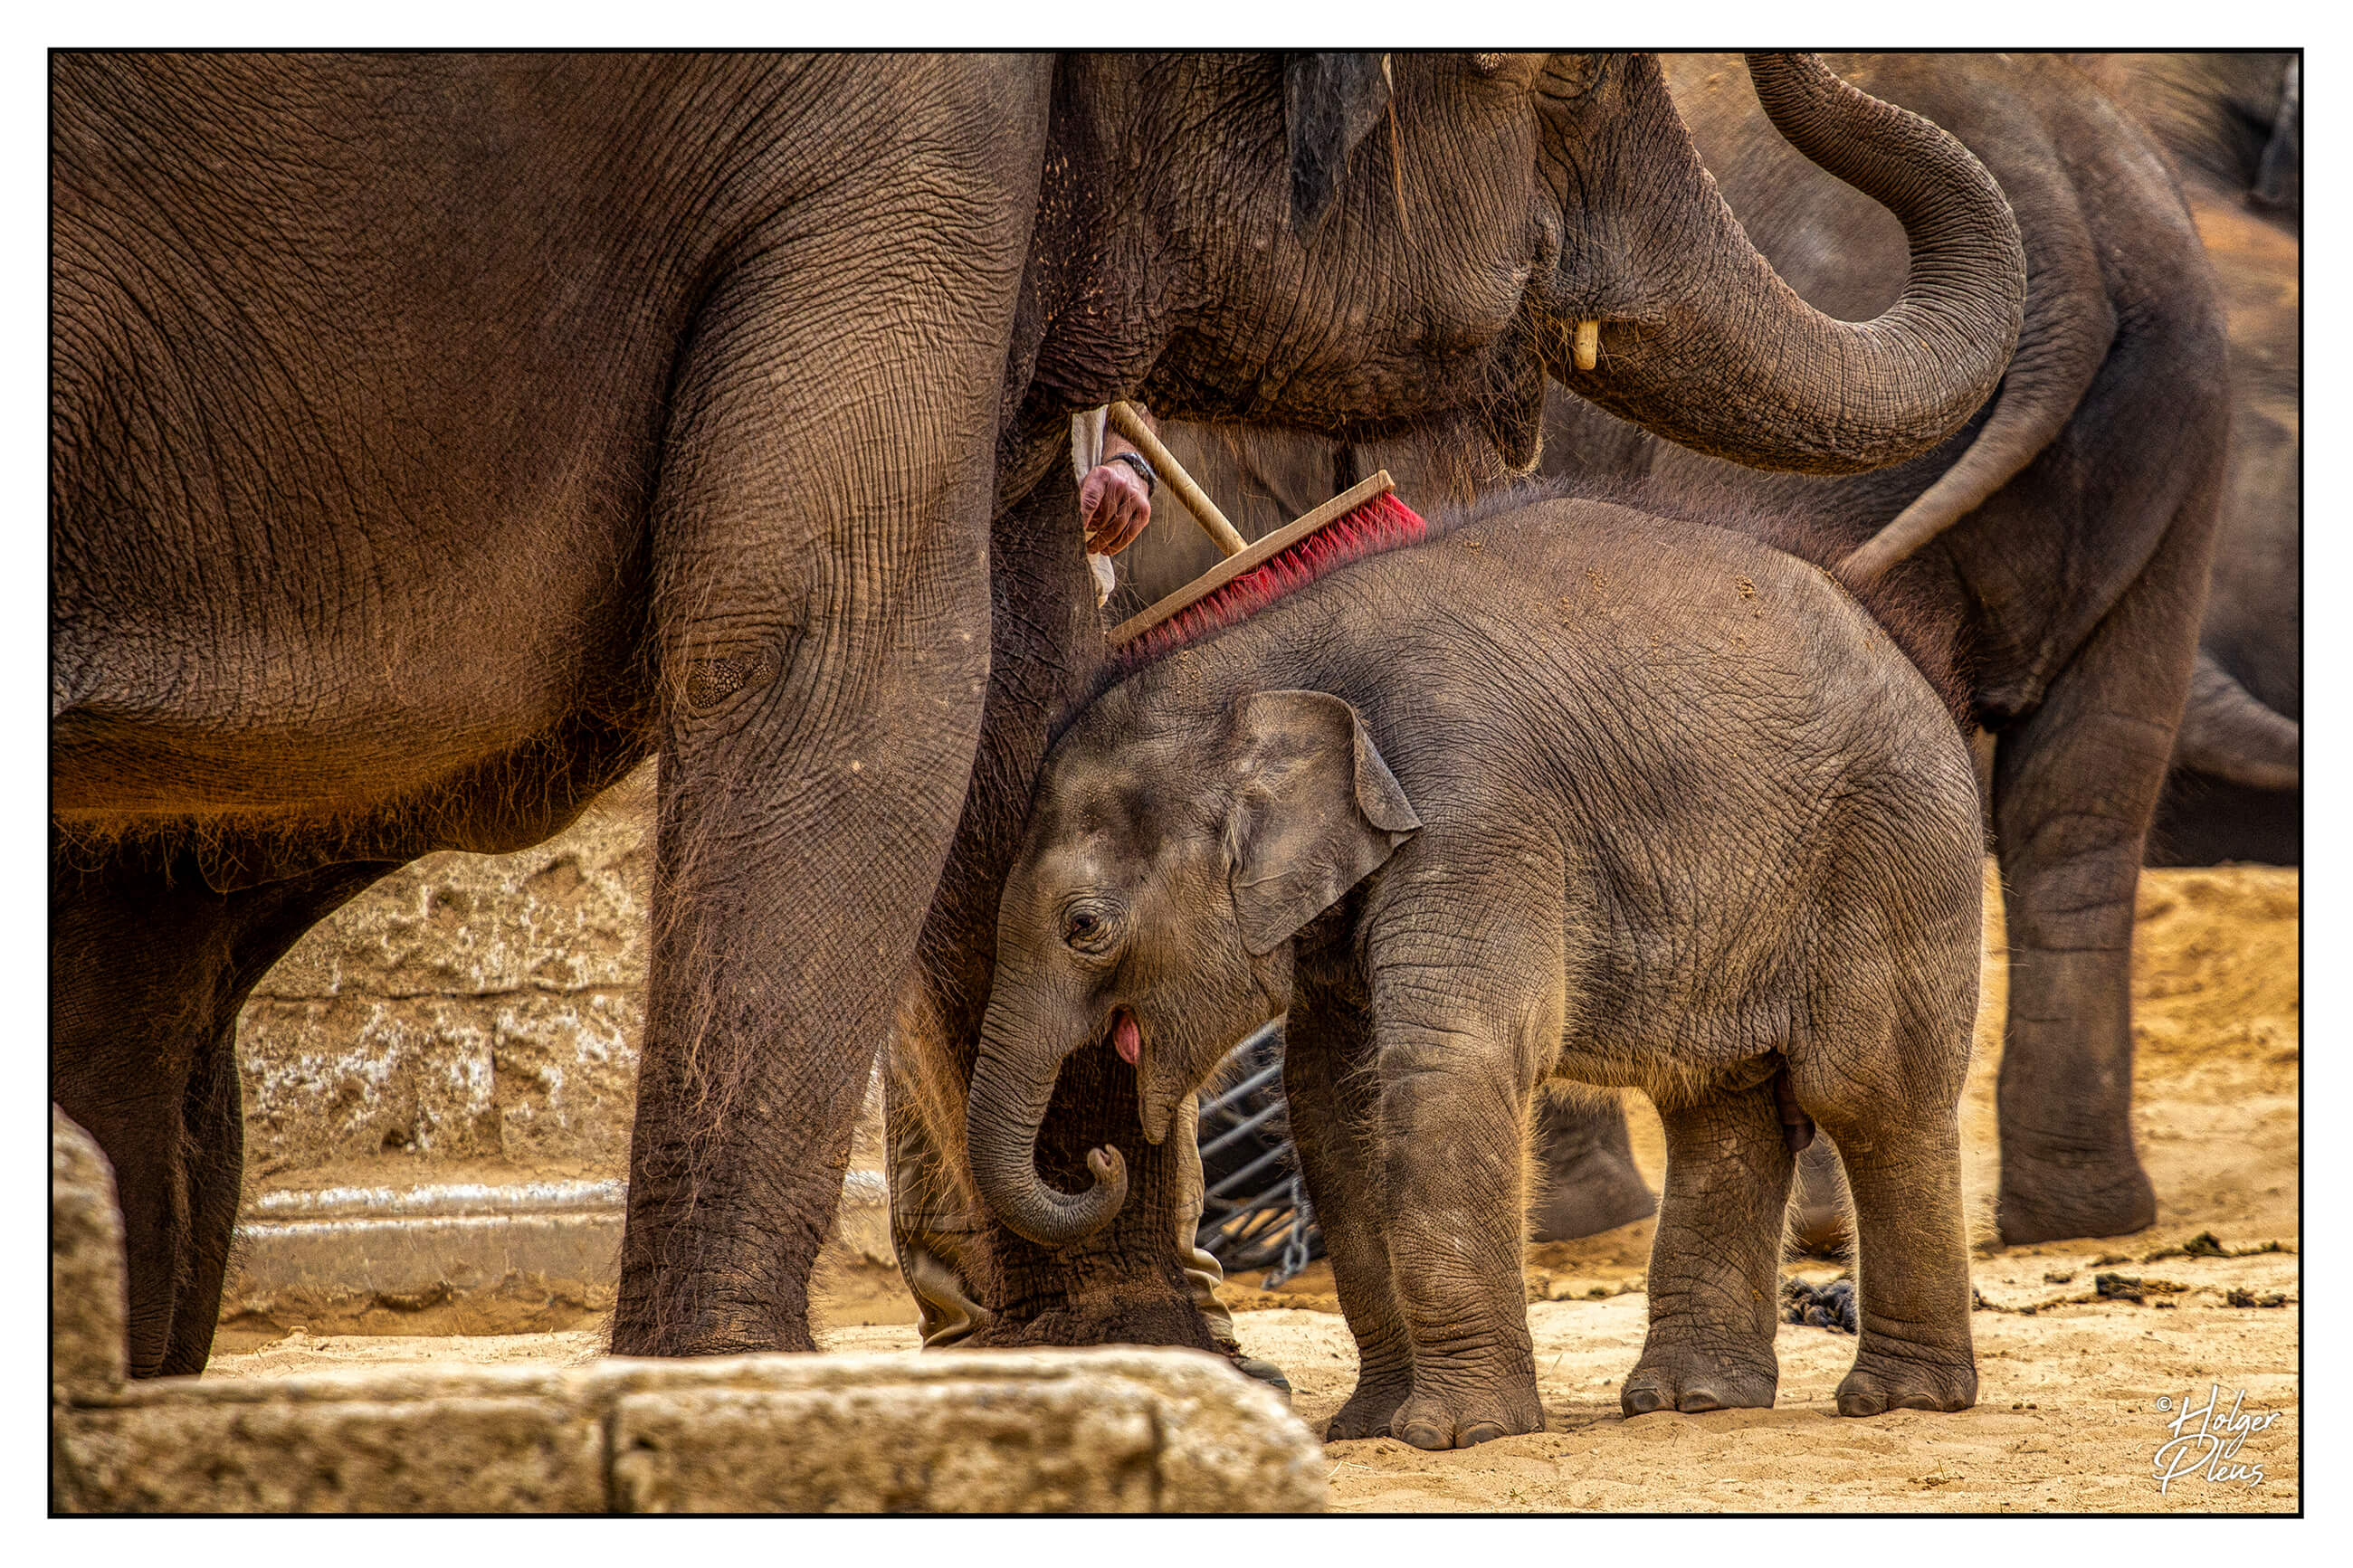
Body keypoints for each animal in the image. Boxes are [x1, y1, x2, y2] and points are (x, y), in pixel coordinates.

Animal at [966, 487, 1985, 1447]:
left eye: (1084, 926)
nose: (1098, 1158)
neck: (1266, 657)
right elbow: (1332, 1100)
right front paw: (1370, 1425)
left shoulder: (1475, 812)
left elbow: (1447, 1065)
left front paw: (1455, 1433)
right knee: (1720, 1106)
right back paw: (1690, 1399)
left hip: (1896, 852)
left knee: (1869, 1091)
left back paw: (1900, 1400)